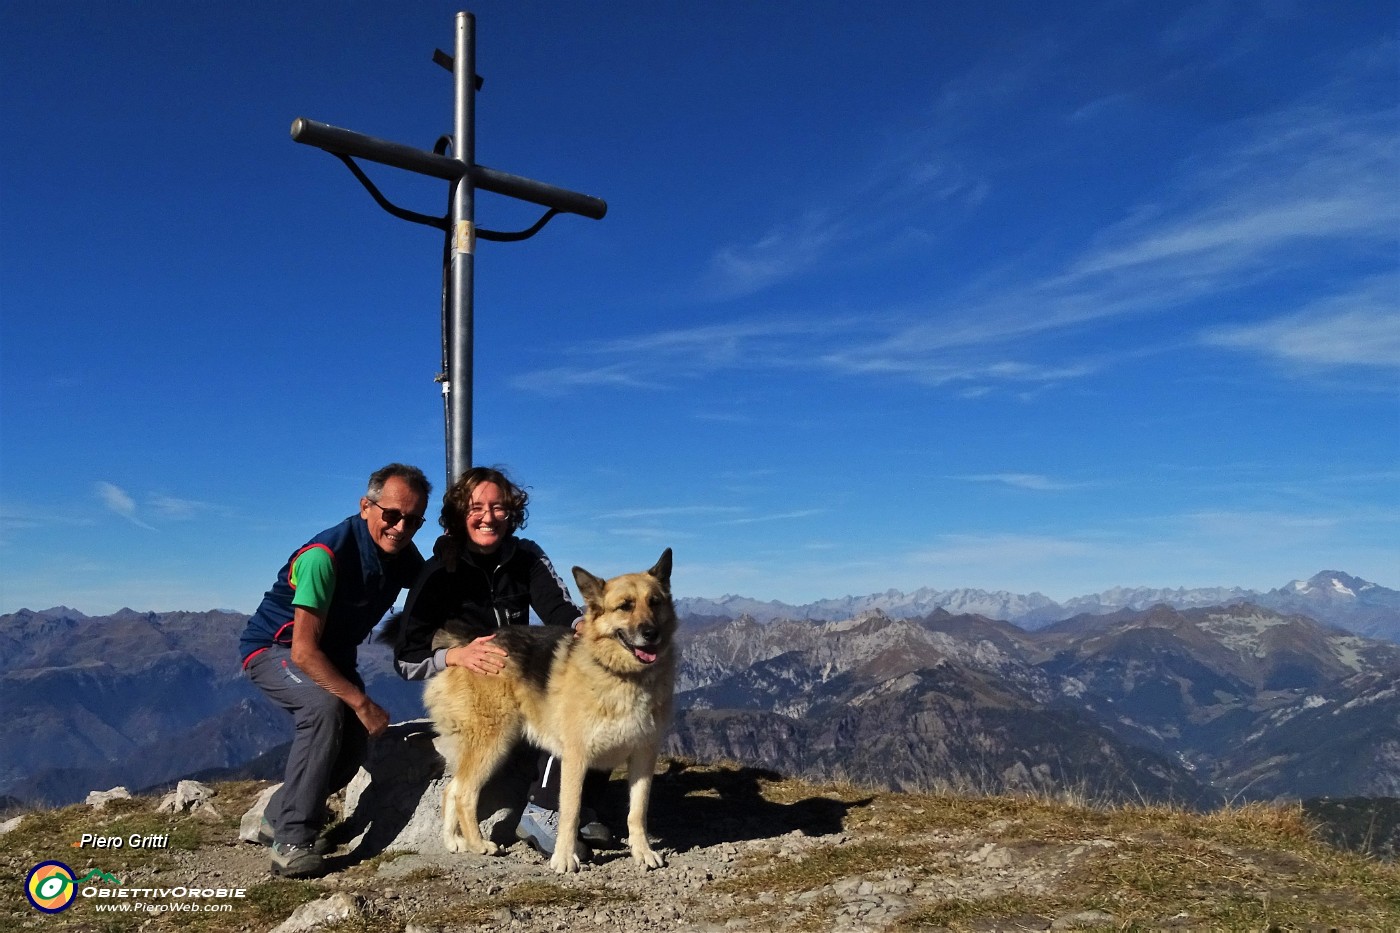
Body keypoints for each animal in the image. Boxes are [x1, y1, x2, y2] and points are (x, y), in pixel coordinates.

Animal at [422, 546, 674, 874]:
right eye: (625, 606)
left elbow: (637, 811)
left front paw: (642, 852)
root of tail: (467, 646)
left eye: (654, 602)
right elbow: (570, 811)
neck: (622, 674)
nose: (651, 633)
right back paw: (478, 844)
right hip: (493, 742)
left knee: (450, 789)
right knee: (464, 793)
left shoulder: (644, 756)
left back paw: (454, 840)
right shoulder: (576, 758)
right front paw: (565, 857)